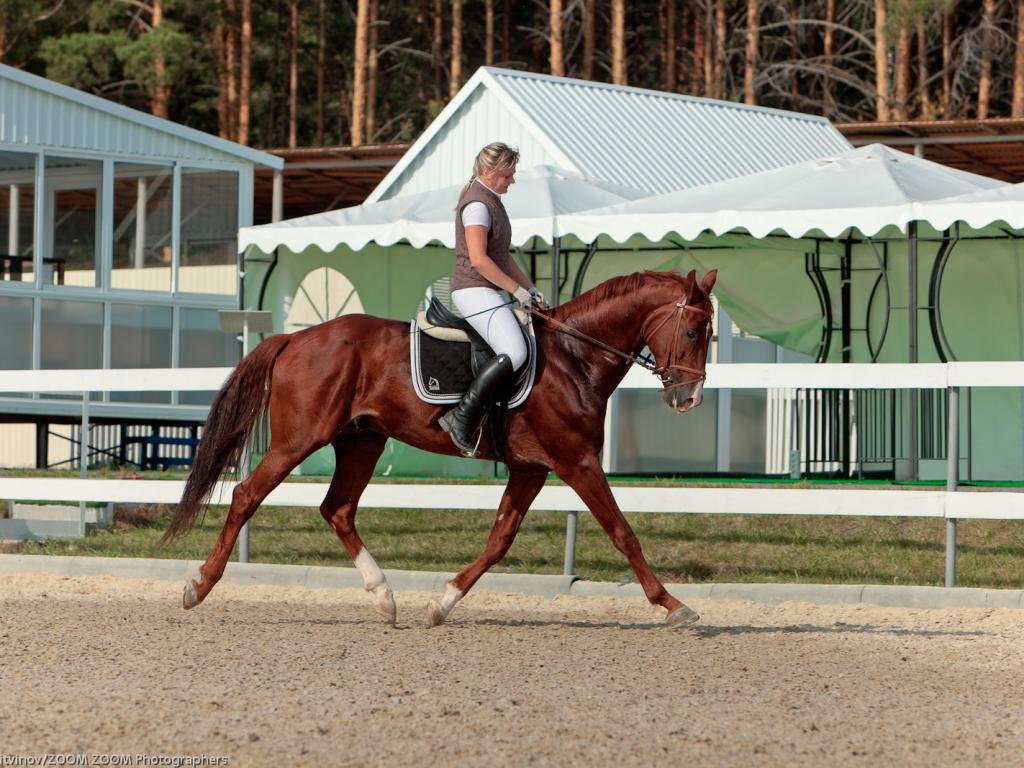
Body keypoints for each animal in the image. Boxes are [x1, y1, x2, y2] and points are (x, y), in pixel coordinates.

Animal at [162, 268, 717, 627]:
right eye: (693, 330)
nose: (689, 398)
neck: (575, 357)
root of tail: (294, 339)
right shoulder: (575, 462)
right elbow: (623, 532)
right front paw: (674, 605)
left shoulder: (531, 469)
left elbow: (499, 540)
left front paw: (442, 603)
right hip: (300, 439)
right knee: (247, 495)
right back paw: (198, 586)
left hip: (362, 440)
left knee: (337, 509)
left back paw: (384, 599)